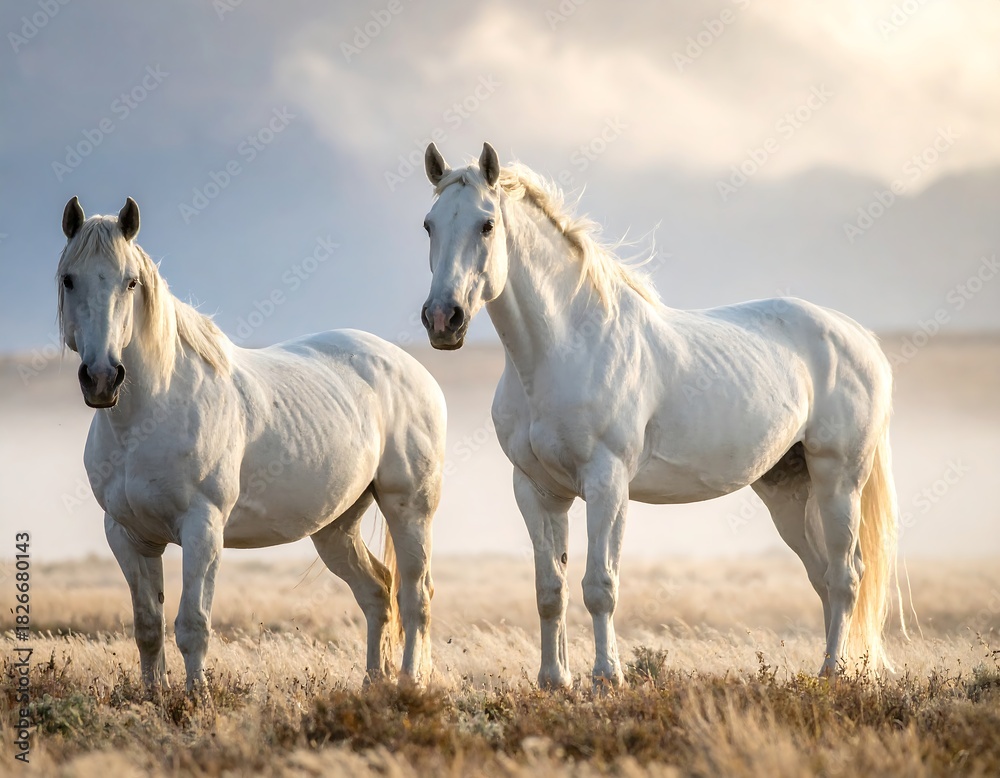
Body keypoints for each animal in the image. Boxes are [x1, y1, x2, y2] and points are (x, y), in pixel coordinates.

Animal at [56, 196, 445, 691]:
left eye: (131, 282)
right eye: (70, 279)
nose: (103, 378)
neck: (146, 416)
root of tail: (414, 370)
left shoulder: (202, 529)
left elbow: (192, 624)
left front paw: (196, 697)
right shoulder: (128, 536)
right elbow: (147, 627)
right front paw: (153, 695)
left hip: (409, 508)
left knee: (415, 595)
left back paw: (410, 683)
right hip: (336, 526)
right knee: (376, 591)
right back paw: (371, 685)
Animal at [418, 142, 903, 688]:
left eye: (486, 224)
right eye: (429, 224)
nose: (443, 319)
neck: (563, 349)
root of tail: (859, 337)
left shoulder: (607, 483)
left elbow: (599, 585)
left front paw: (606, 677)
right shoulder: (537, 490)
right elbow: (550, 589)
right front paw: (554, 680)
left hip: (838, 479)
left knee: (845, 576)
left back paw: (834, 673)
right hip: (787, 489)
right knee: (821, 575)